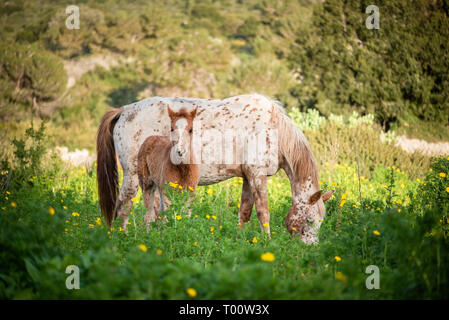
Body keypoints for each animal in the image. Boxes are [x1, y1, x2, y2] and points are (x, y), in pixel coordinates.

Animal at [95, 94, 332, 244]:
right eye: (310, 220)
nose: (311, 248)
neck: (273, 127)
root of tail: (125, 110)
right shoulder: (257, 175)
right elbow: (263, 213)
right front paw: (268, 242)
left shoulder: (248, 177)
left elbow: (244, 213)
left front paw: (241, 241)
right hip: (134, 177)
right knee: (123, 207)